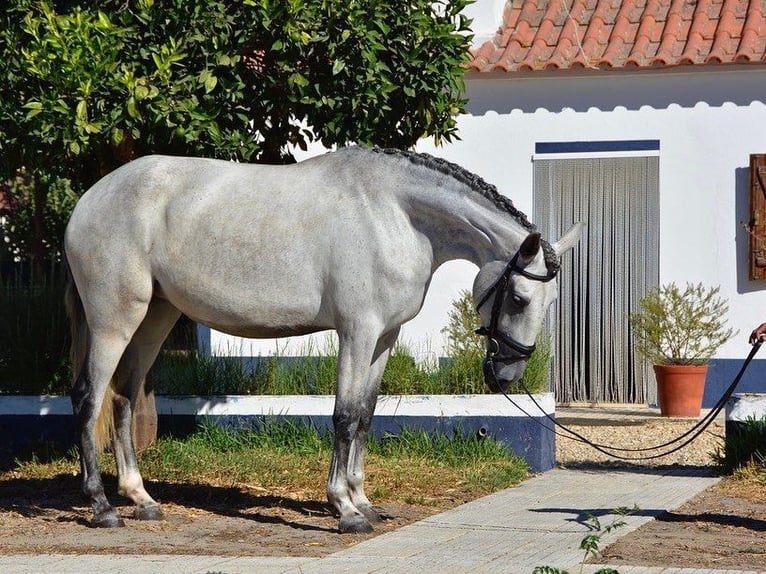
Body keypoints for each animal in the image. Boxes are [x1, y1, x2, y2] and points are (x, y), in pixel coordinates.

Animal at [66, 145, 584, 536]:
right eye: (517, 297)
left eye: (551, 301)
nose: (508, 372)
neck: (394, 214)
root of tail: (89, 200)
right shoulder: (357, 331)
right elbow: (344, 416)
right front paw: (345, 510)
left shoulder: (384, 336)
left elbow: (366, 416)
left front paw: (364, 500)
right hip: (114, 321)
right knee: (89, 398)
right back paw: (102, 507)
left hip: (155, 317)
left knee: (124, 397)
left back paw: (141, 499)